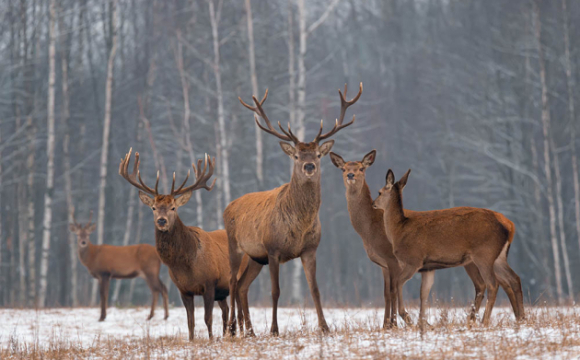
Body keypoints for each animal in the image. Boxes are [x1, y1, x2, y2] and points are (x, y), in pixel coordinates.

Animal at [120, 149, 249, 340]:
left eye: (173, 207)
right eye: (153, 207)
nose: (161, 220)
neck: (186, 264)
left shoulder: (209, 283)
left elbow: (207, 318)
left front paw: (211, 340)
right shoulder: (183, 290)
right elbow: (190, 321)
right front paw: (192, 340)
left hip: (237, 277)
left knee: (238, 308)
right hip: (222, 291)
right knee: (226, 310)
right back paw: (229, 334)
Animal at [225, 81, 362, 334]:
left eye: (317, 154)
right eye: (297, 155)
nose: (309, 166)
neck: (299, 226)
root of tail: (228, 206)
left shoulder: (310, 249)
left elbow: (315, 290)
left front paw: (325, 327)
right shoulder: (273, 249)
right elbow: (275, 291)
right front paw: (274, 329)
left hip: (255, 257)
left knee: (241, 286)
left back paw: (249, 331)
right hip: (235, 246)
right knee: (231, 281)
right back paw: (230, 329)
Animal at [330, 150, 512, 328]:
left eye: (361, 168)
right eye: (343, 168)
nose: (350, 175)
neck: (370, 229)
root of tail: (509, 225)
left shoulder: (395, 260)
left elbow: (393, 290)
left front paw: (395, 324)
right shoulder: (387, 264)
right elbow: (390, 293)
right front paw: (391, 324)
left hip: (481, 257)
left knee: (493, 284)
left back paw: (483, 321)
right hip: (489, 259)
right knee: (506, 281)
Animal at [374, 169, 528, 326]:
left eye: (379, 192)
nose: (374, 204)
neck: (399, 230)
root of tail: (510, 226)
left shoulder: (414, 260)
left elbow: (398, 283)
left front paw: (406, 316)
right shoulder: (428, 268)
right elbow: (423, 292)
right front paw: (421, 323)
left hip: (484, 254)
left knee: (492, 284)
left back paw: (484, 321)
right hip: (499, 257)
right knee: (514, 278)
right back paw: (521, 318)